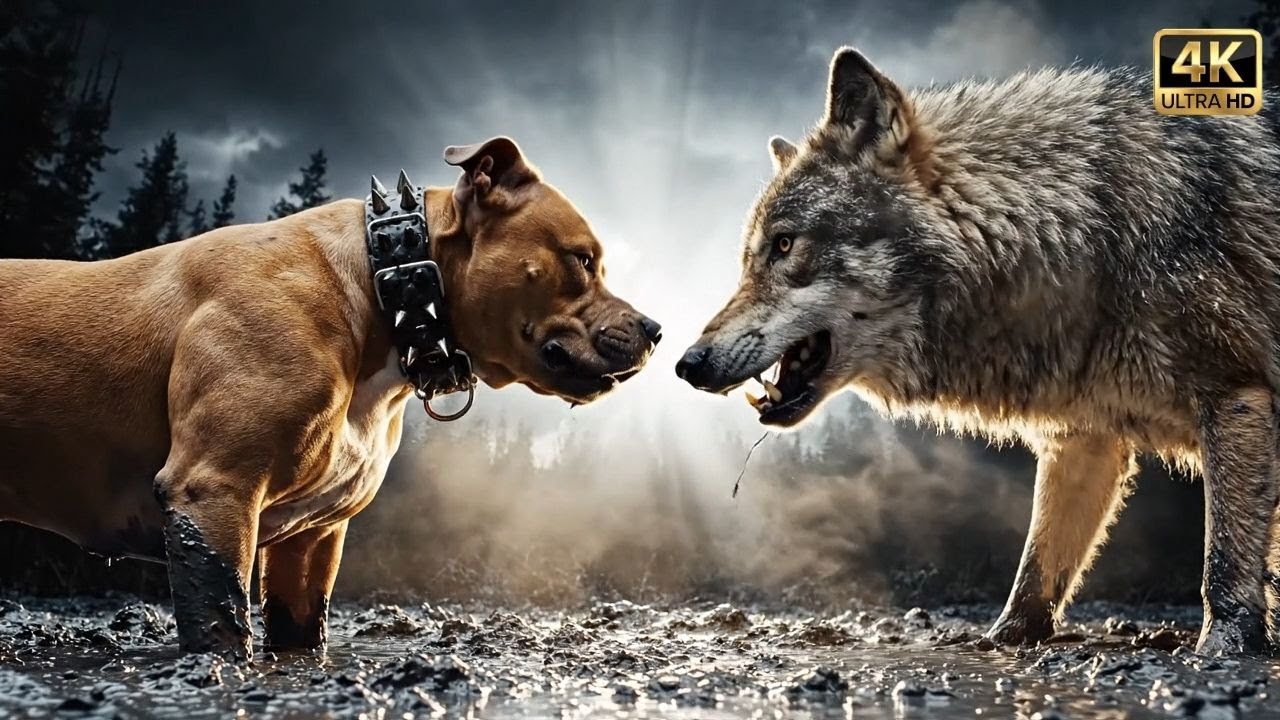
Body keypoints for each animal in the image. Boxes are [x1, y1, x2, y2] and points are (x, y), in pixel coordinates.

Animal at [676, 47, 1280, 655]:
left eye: (784, 245)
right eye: (749, 258)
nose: (687, 364)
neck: (1083, 225)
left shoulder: (1236, 398)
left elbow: (1223, 560)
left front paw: (1224, 648)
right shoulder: (1082, 439)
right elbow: (1037, 569)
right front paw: (1003, 641)